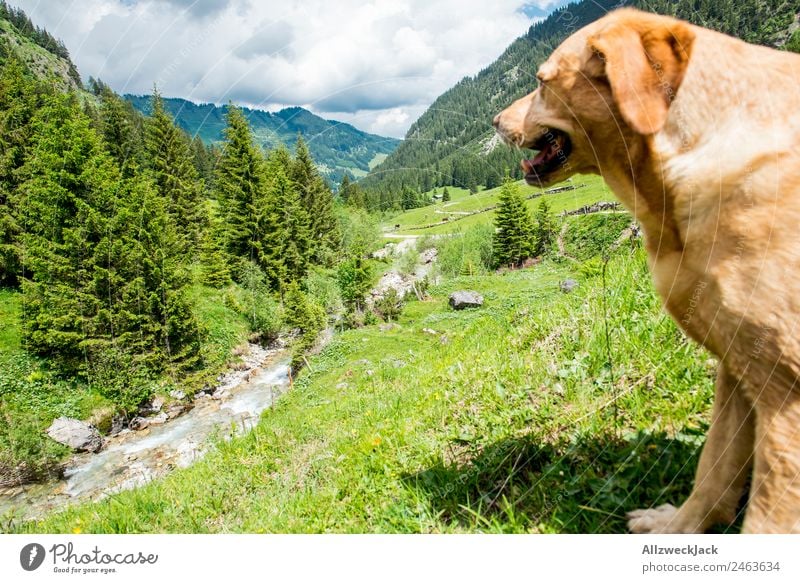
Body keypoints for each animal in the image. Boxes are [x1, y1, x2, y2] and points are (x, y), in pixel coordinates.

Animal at [494, 6, 800, 532]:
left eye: (541, 81)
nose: (495, 121)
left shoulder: (786, 394)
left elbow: (766, 517)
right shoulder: (738, 364)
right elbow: (714, 466)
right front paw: (676, 527)